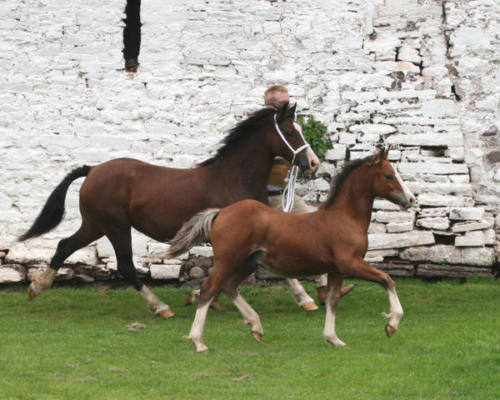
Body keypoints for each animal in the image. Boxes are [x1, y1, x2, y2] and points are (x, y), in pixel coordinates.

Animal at [170, 148, 416, 352]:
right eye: (389, 175)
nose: (411, 199)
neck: (344, 218)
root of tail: (221, 212)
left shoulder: (336, 270)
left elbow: (333, 300)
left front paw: (333, 339)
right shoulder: (350, 263)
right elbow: (387, 280)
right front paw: (392, 325)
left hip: (249, 262)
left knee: (229, 286)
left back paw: (256, 326)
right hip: (229, 259)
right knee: (209, 288)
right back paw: (199, 341)